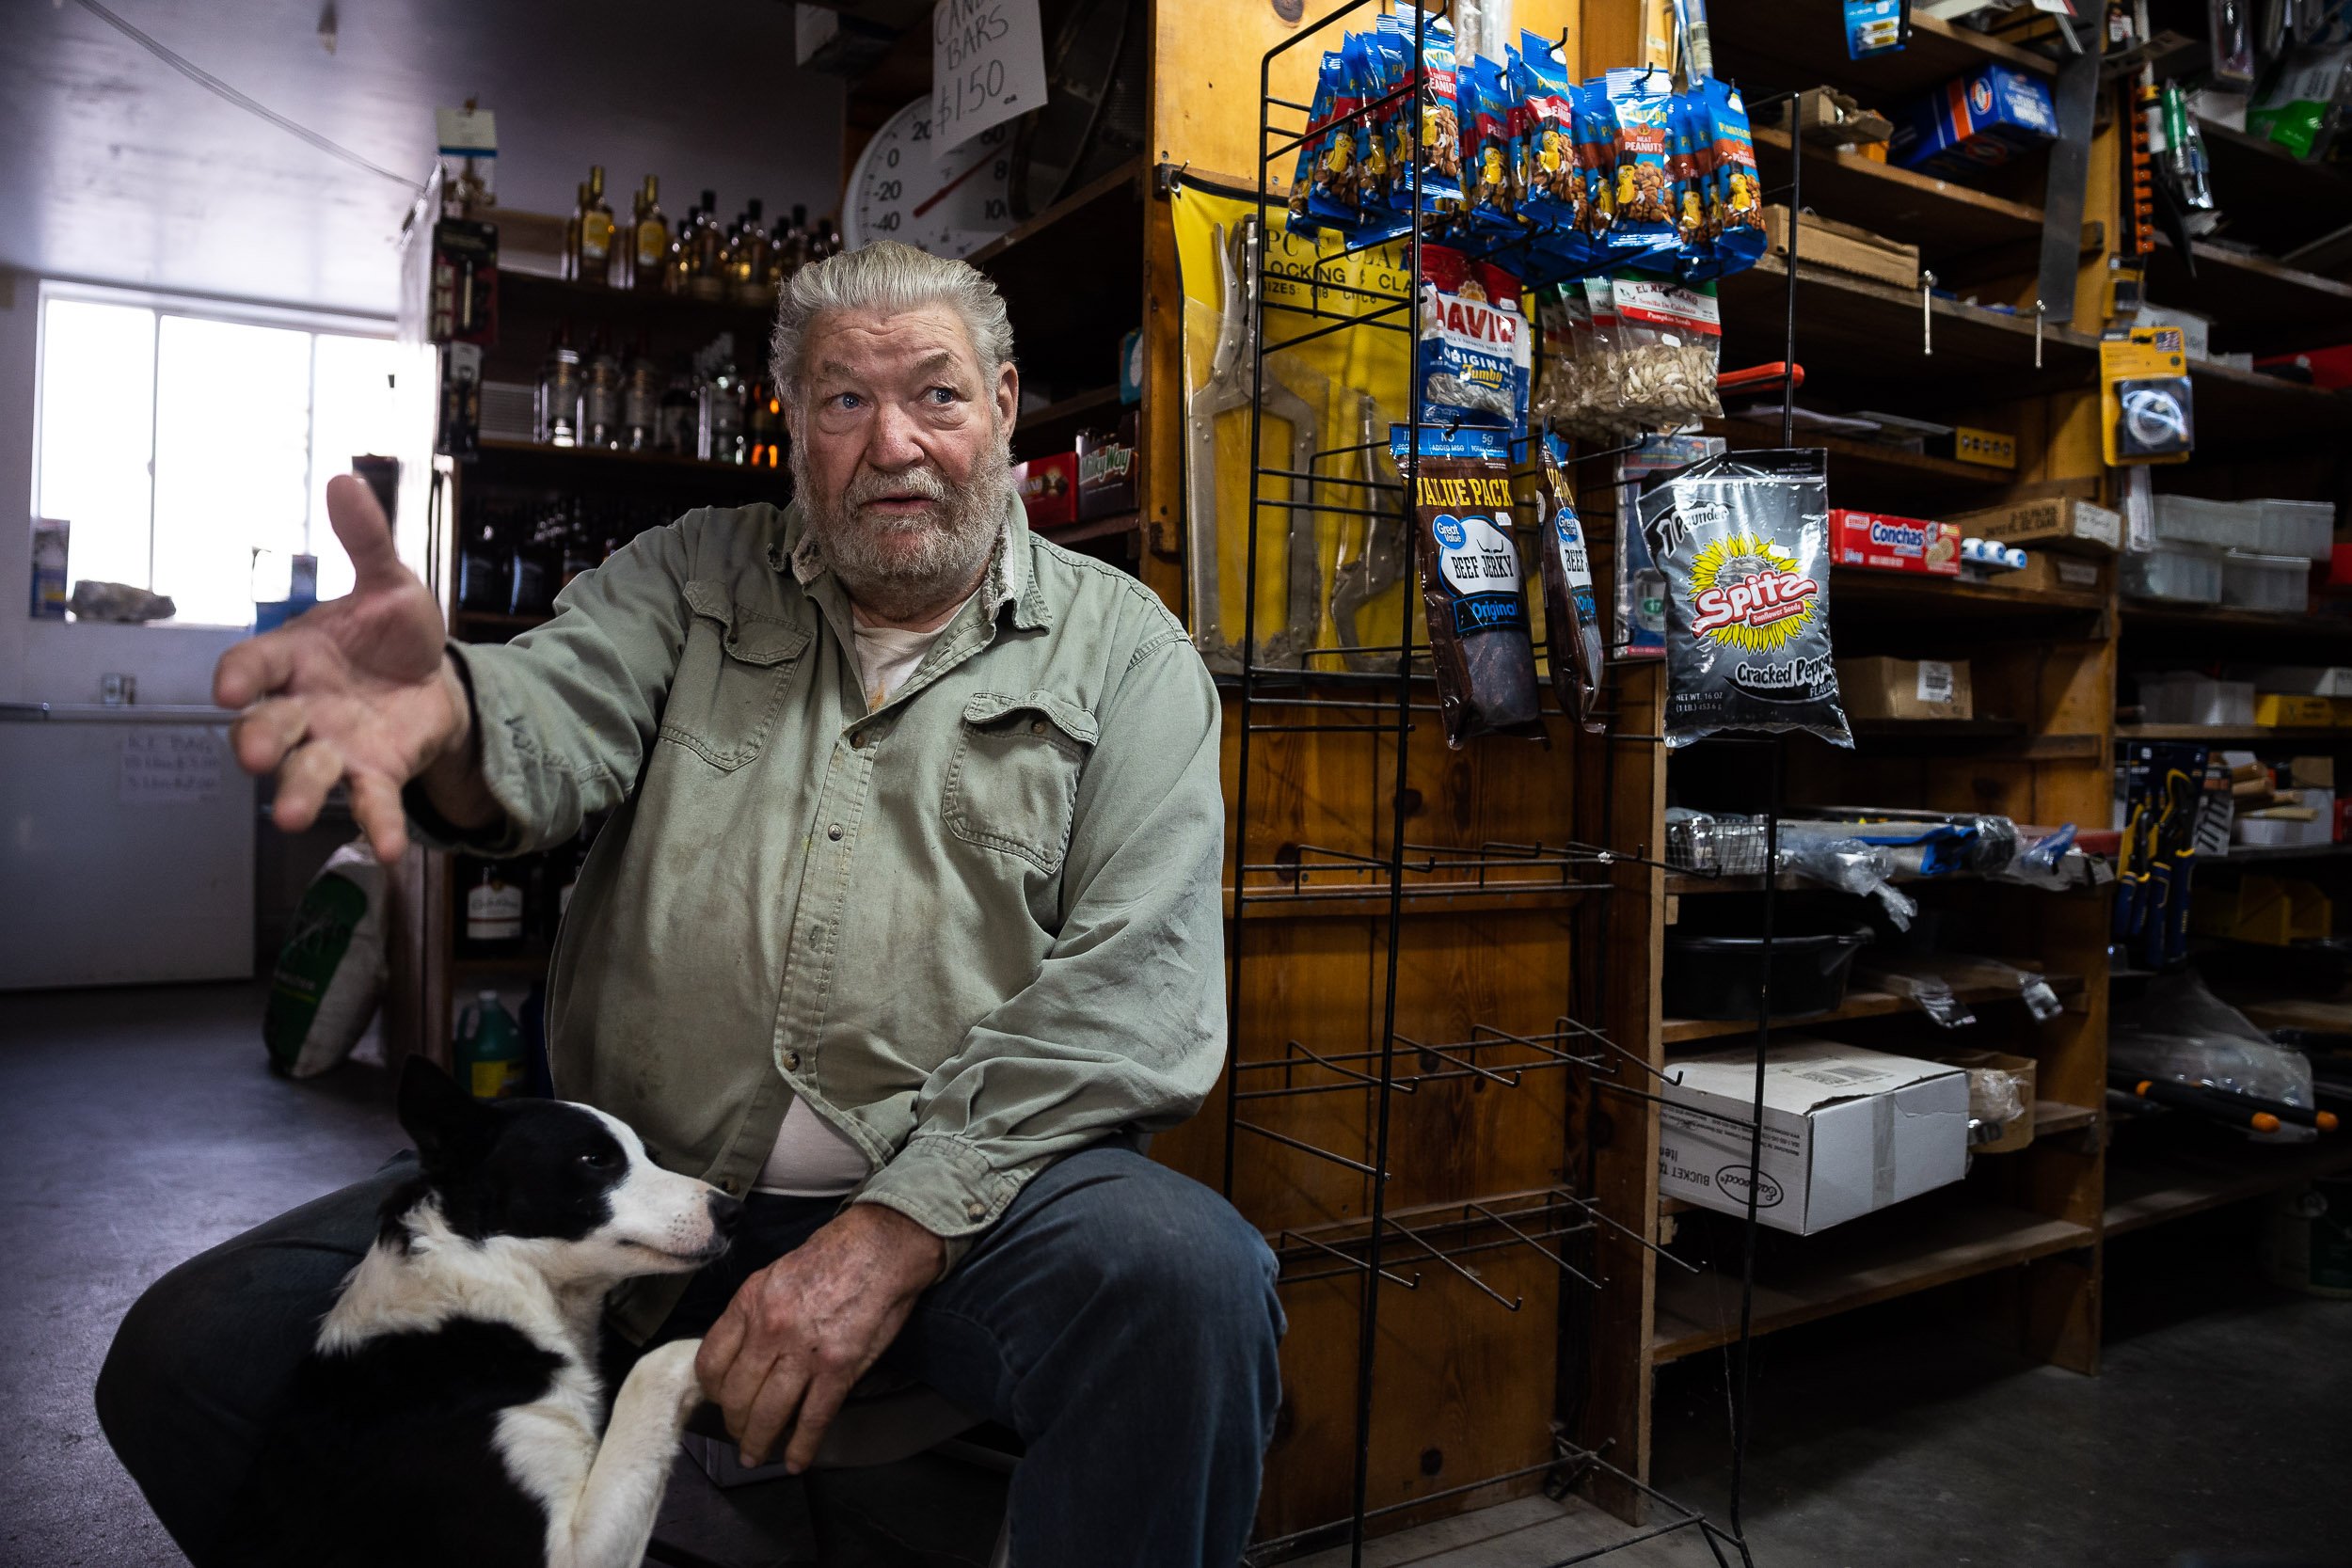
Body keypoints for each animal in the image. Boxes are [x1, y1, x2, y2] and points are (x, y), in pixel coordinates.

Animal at [221, 1062, 739, 1560]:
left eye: (652, 1157)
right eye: (595, 1160)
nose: (733, 1212)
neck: (486, 1282)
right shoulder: (557, 1553)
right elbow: (656, 1363)